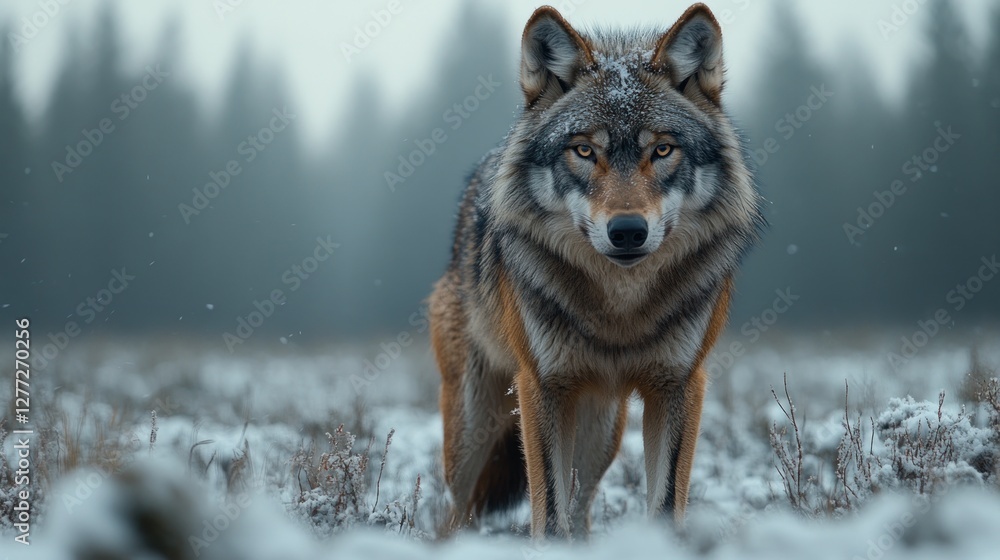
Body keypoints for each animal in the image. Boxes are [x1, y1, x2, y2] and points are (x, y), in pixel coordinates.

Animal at [429, 3, 764, 539]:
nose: (627, 231)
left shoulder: (679, 385)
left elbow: (664, 501)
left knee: (582, 504)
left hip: (600, 430)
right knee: (455, 511)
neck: (620, 306)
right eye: (585, 150)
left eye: (662, 150)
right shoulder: (541, 385)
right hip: (473, 429)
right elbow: (548, 514)